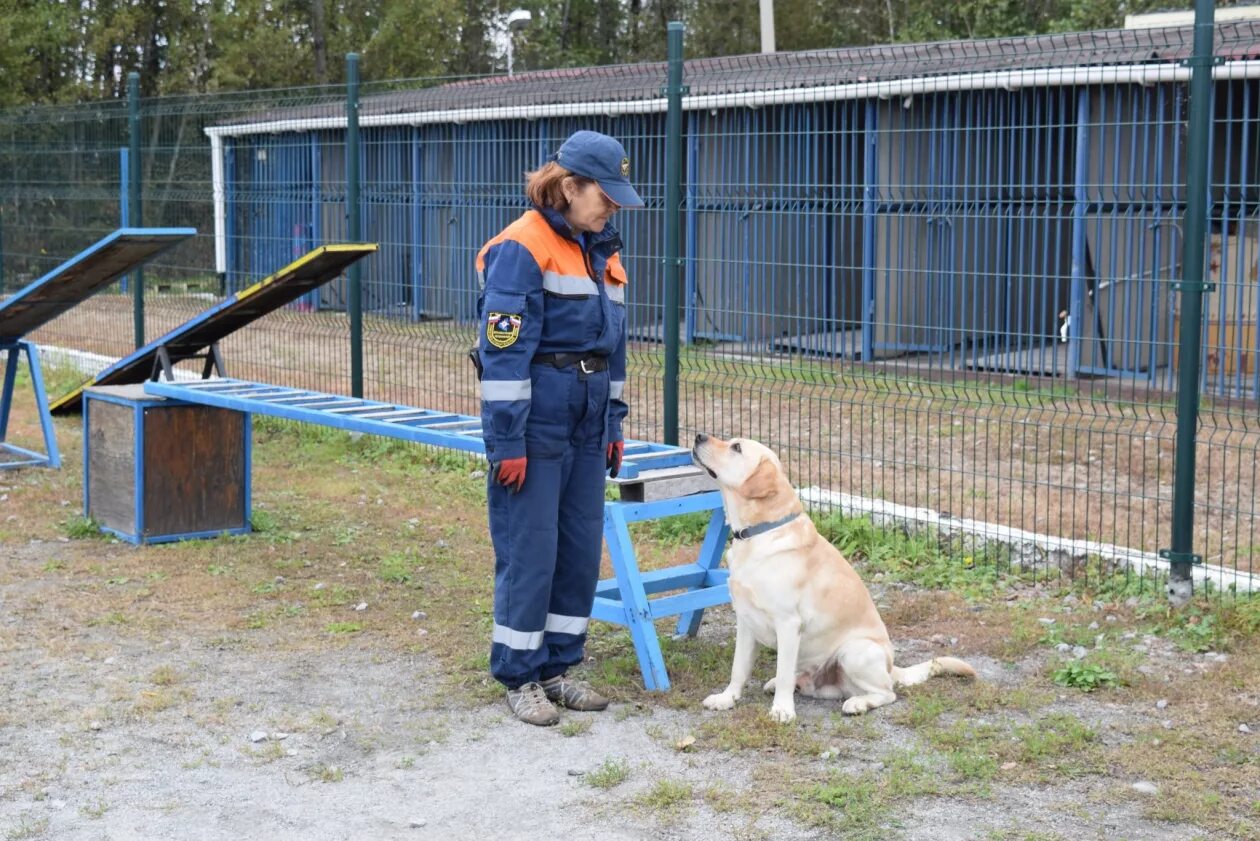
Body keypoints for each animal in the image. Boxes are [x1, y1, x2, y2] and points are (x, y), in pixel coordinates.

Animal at [690, 433, 972, 726]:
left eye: (736, 447)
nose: (698, 436)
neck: (757, 534)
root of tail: (892, 668)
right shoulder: (745, 620)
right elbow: (739, 668)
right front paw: (727, 698)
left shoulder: (788, 623)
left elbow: (781, 672)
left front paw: (782, 710)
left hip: (854, 652)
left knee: (886, 693)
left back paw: (857, 703)